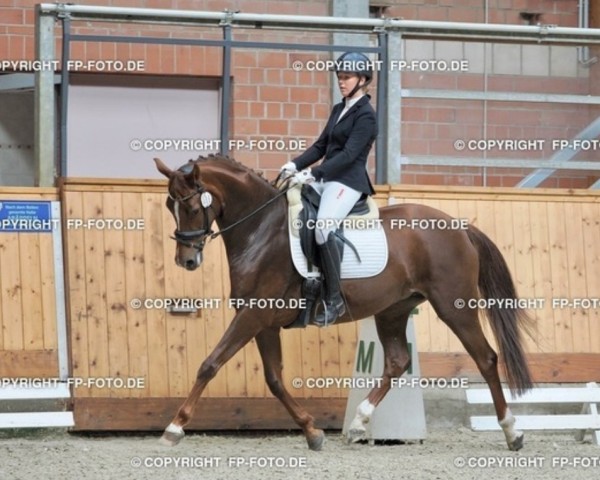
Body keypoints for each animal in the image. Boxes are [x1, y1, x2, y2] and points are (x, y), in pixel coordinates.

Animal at [152, 156, 532, 452]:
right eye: (170, 207)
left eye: (190, 206)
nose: (186, 261)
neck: (261, 230)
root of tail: (460, 227)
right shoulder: (264, 322)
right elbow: (274, 380)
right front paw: (312, 431)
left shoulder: (253, 316)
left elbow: (210, 364)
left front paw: (174, 428)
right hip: (393, 310)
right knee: (397, 362)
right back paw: (359, 423)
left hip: (454, 306)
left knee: (486, 358)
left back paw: (512, 431)